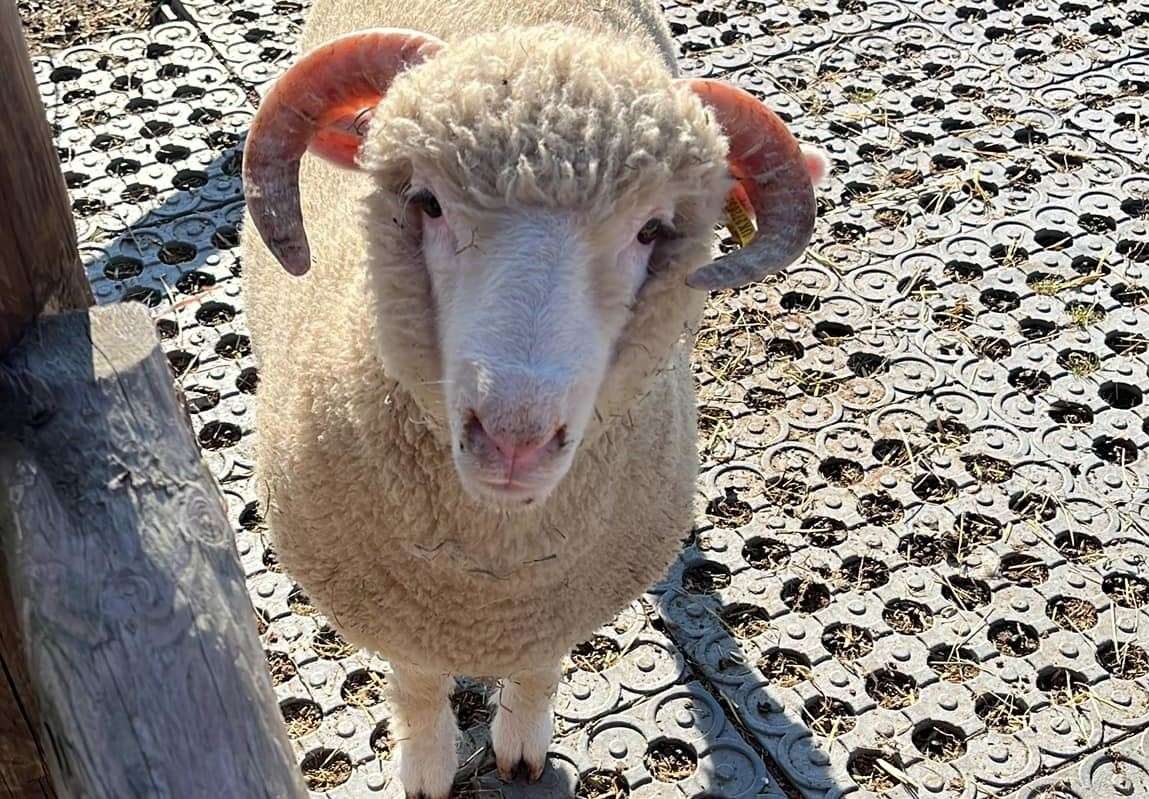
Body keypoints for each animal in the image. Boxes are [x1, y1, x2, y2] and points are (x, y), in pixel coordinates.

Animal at [240, 3, 818, 795]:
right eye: (426, 203)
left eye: (652, 230)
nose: (515, 439)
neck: (494, 583)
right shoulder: (396, 615)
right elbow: (419, 685)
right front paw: (426, 766)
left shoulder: (557, 607)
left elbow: (539, 670)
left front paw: (521, 746)